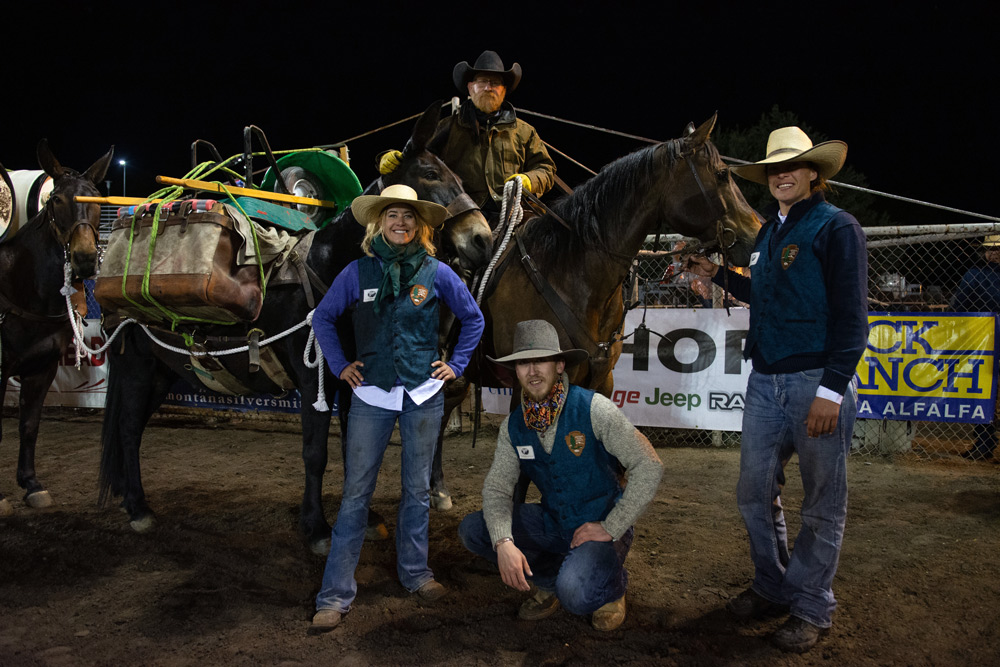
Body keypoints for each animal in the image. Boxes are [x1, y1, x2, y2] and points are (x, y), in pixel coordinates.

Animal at [0, 140, 114, 516]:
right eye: (57, 200)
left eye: (97, 198)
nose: (84, 258)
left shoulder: (43, 367)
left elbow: (29, 424)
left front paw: (31, 484)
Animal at [97, 105, 492, 552]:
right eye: (429, 174)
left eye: (459, 178)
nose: (482, 239)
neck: (331, 271)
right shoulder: (311, 378)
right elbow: (315, 453)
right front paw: (317, 527)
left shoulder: (351, 380)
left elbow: (353, 446)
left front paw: (365, 519)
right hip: (136, 369)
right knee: (128, 429)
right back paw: (137, 508)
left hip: (163, 372)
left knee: (131, 429)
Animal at [428, 116, 756, 506]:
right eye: (722, 174)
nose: (756, 232)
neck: (570, 270)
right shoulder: (524, 387)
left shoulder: (602, 380)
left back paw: (437, 488)